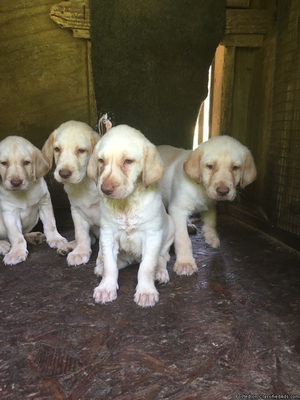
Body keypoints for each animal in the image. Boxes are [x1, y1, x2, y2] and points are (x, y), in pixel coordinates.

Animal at [0, 136, 67, 264]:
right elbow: (16, 236)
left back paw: (35, 237)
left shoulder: (44, 202)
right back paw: (2, 245)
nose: (16, 182)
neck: (23, 193)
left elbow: (50, 224)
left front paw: (55, 238)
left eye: (26, 162)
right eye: (4, 163)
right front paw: (16, 252)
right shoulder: (10, 213)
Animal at [41, 121, 101, 266]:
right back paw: (68, 246)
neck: (83, 184)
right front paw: (80, 252)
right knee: (90, 238)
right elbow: (81, 235)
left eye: (81, 150)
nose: (64, 173)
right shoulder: (76, 211)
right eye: (57, 149)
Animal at [86, 124, 175, 306]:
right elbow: (110, 266)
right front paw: (106, 288)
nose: (105, 189)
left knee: (162, 259)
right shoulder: (108, 235)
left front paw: (146, 291)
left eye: (128, 161)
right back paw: (101, 267)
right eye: (101, 161)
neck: (126, 203)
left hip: (169, 233)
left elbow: (146, 267)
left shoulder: (152, 236)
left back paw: (160, 273)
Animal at [156, 136, 256, 276]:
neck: (201, 188)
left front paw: (211, 236)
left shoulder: (210, 204)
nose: (223, 191)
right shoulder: (178, 209)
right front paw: (185, 262)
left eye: (235, 167)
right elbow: (183, 239)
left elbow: (211, 219)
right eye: (210, 166)